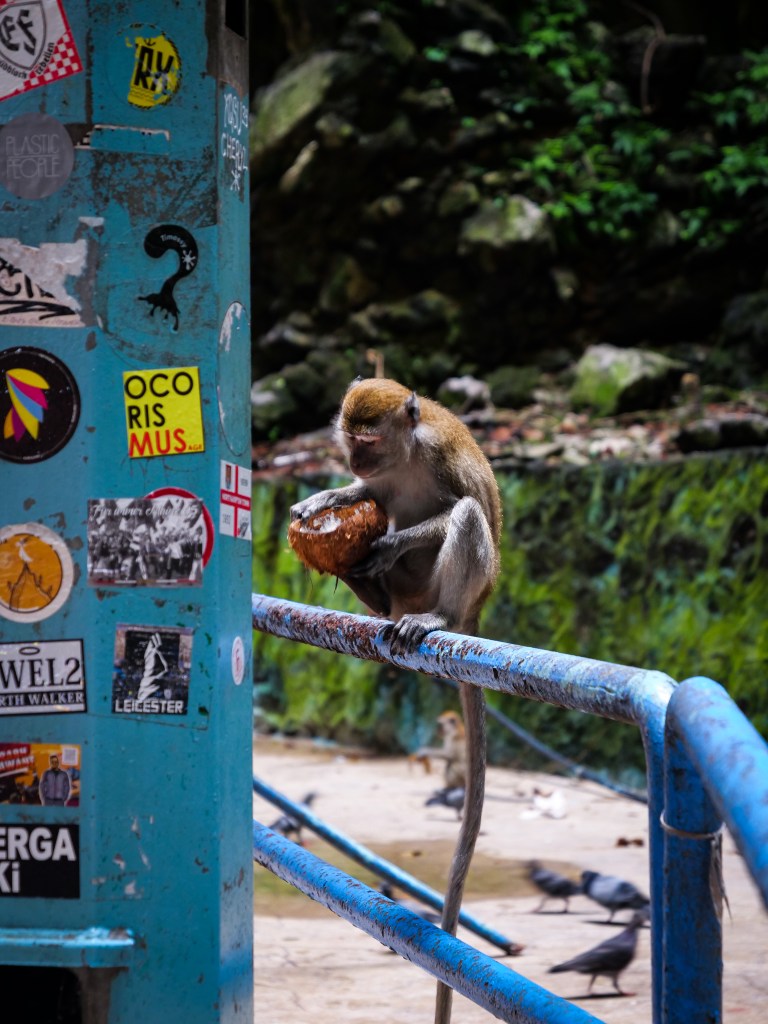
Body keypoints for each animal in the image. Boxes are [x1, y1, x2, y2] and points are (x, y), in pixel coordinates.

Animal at [290, 377, 503, 1024]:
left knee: (466, 518)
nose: (354, 459)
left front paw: (389, 540)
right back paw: (366, 589)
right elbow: (367, 496)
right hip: (397, 598)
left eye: (368, 438)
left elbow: (461, 509)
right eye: (349, 441)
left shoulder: (440, 455)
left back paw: (435, 617)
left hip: (455, 592)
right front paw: (323, 498)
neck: (403, 454)